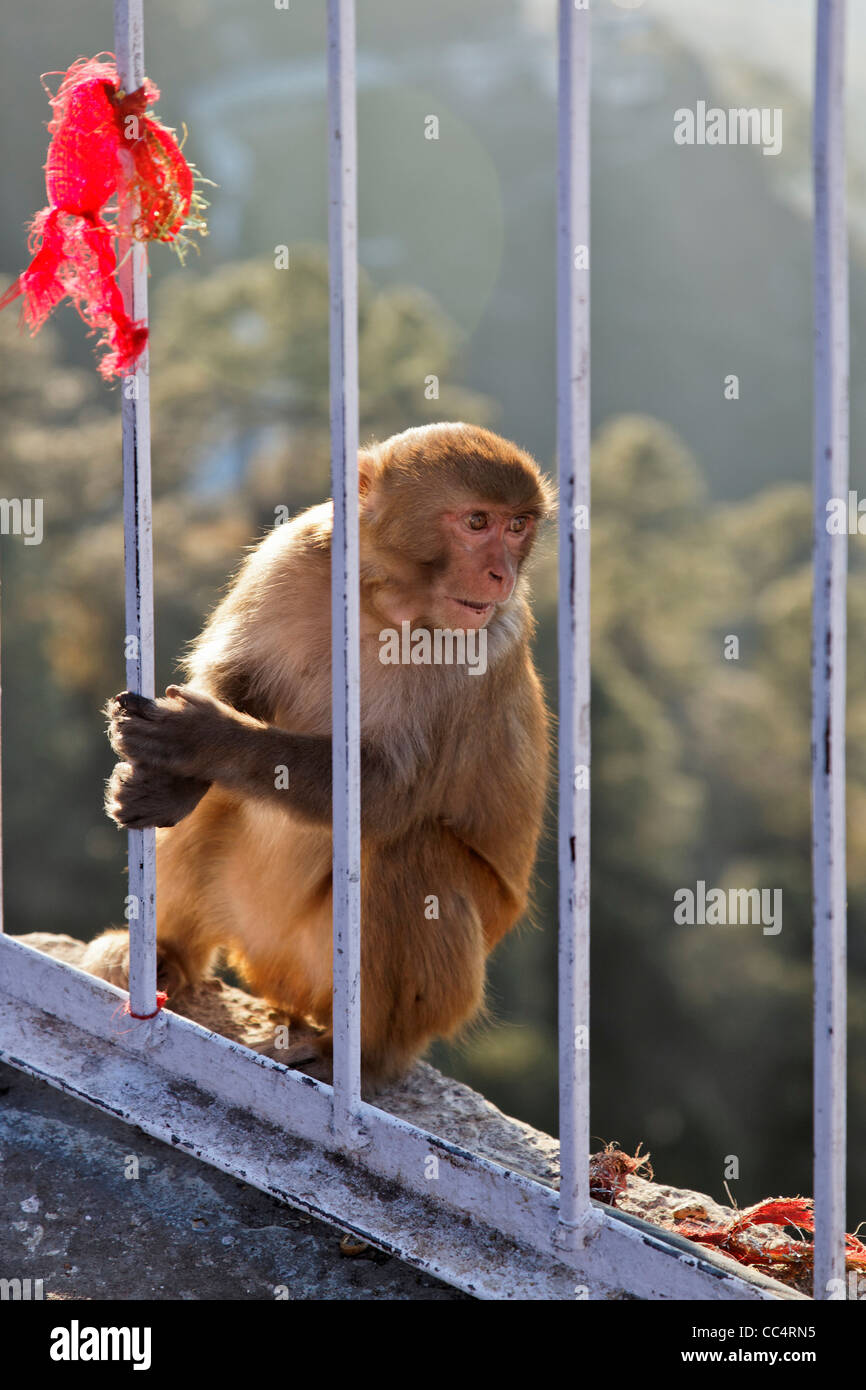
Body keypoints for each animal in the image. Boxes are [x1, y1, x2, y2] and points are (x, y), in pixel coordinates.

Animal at [83, 422, 556, 1084]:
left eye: (518, 527)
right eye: (478, 521)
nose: (502, 576)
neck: (380, 603)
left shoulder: (479, 650)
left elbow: (385, 796)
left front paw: (204, 742)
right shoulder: (293, 554)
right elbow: (236, 676)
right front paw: (169, 777)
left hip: (360, 977)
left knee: (412, 854)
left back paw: (356, 1057)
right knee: (221, 807)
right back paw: (165, 954)